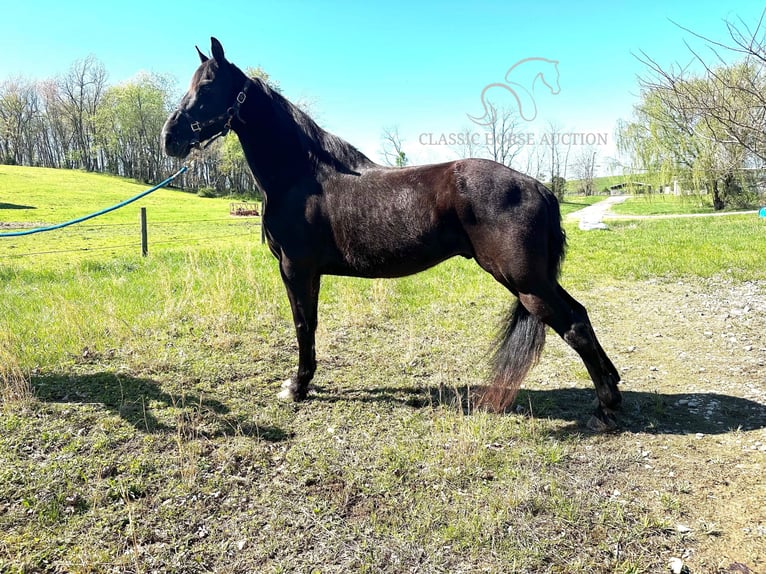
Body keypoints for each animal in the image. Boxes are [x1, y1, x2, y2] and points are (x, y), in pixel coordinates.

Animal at [162, 38, 624, 430]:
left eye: (207, 86)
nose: (170, 137)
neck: (302, 176)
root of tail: (538, 187)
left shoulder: (295, 268)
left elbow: (302, 325)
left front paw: (296, 387)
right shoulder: (309, 273)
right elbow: (311, 323)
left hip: (527, 282)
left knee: (575, 325)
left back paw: (606, 409)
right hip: (537, 280)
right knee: (580, 315)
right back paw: (611, 392)